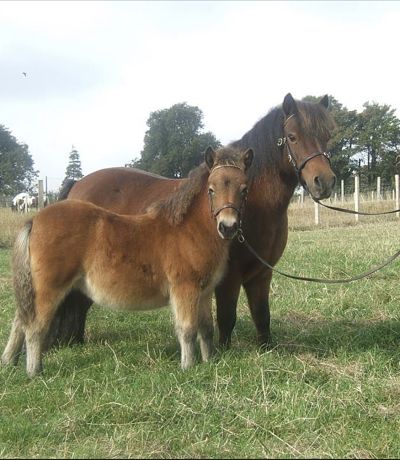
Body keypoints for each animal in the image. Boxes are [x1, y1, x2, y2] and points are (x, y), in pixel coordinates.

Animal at [2, 146, 253, 378]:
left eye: (244, 189)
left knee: (20, 321)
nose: (228, 227)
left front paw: (210, 362)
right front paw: (188, 367)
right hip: (48, 289)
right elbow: (188, 329)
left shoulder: (204, 292)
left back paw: (8, 362)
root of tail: (34, 219)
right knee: (34, 327)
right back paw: (34, 371)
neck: (188, 230)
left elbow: (206, 328)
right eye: (211, 189)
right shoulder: (185, 289)